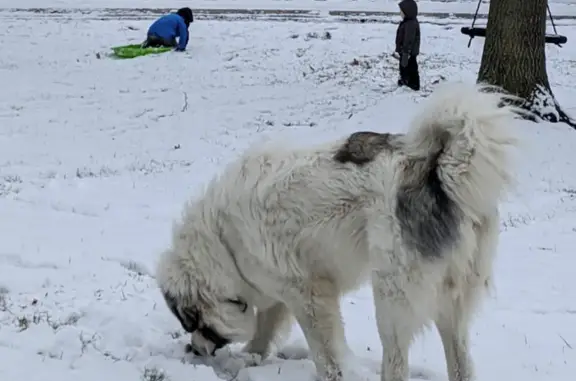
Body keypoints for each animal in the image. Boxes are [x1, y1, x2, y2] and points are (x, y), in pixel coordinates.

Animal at [158, 83, 520, 380]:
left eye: (193, 323)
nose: (193, 349)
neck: (223, 244)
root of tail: (437, 169)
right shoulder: (281, 290)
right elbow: (267, 324)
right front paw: (252, 358)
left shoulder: (310, 296)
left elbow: (325, 354)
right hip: (451, 301)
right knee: (460, 359)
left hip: (392, 297)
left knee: (396, 359)